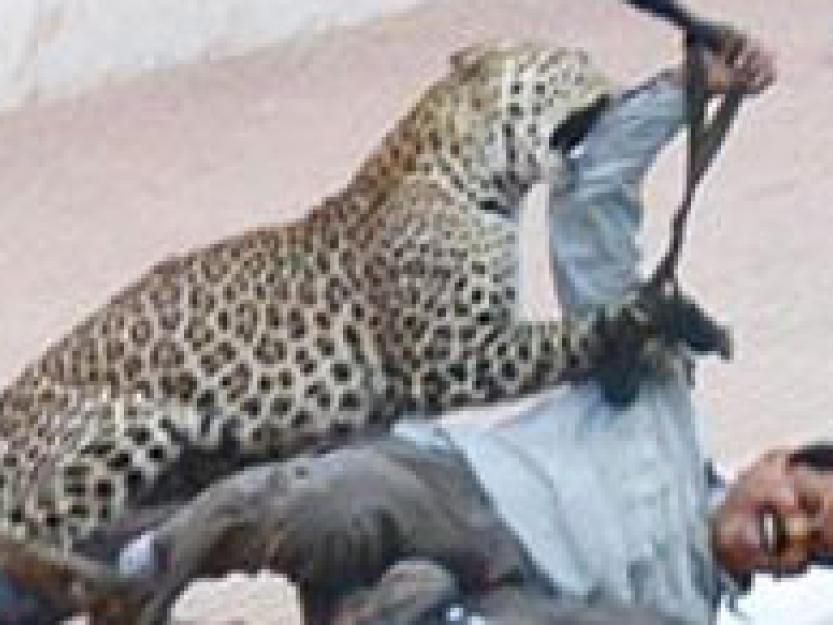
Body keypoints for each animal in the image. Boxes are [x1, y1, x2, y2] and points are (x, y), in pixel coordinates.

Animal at [0, 41, 692, 557]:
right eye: (575, 62)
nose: (631, 85)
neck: (474, 176)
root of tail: (12, 397)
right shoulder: (457, 354)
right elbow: (562, 336)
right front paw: (653, 329)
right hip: (122, 427)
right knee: (33, 531)